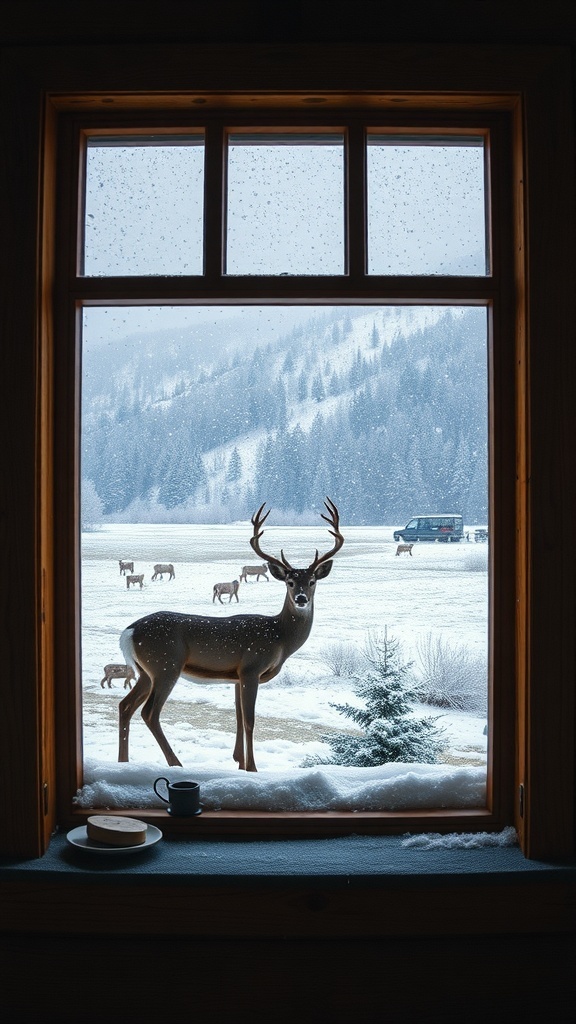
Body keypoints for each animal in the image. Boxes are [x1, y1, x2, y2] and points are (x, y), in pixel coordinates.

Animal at [118, 497, 344, 772]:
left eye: (312, 581)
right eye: (289, 582)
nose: (301, 598)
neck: (280, 638)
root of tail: (128, 632)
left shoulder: (236, 676)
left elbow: (237, 718)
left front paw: (239, 762)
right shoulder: (251, 668)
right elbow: (249, 721)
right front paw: (253, 768)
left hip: (146, 671)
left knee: (125, 705)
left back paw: (123, 762)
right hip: (165, 665)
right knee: (149, 712)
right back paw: (176, 763)